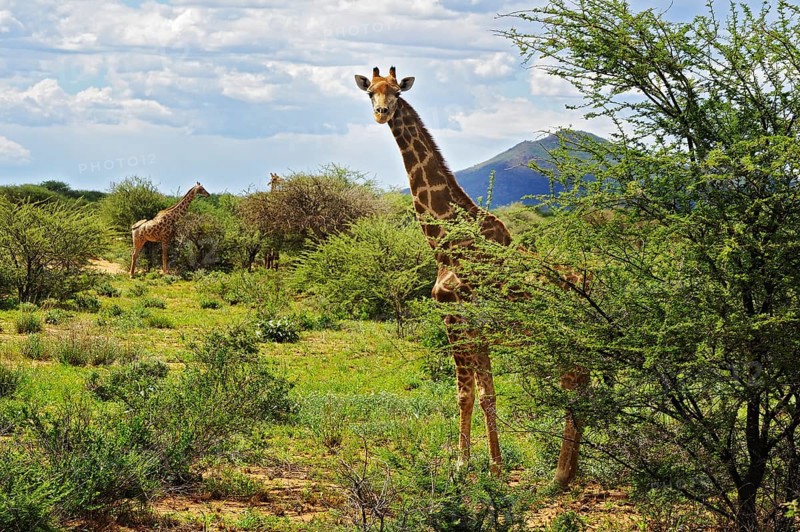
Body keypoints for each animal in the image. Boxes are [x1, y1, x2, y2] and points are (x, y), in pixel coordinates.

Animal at [355, 67, 588, 486]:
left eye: (396, 92)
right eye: (371, 93)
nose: (381, 113)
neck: (443, 240)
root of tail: (587, 280)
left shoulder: (458, 319)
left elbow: (471, 395)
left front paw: (472, 467)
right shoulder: (470, 325)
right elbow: (480, 394)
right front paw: (483, 466)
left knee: (573, 386)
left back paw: (561, 475)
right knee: (580, 386)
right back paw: (566, 473)